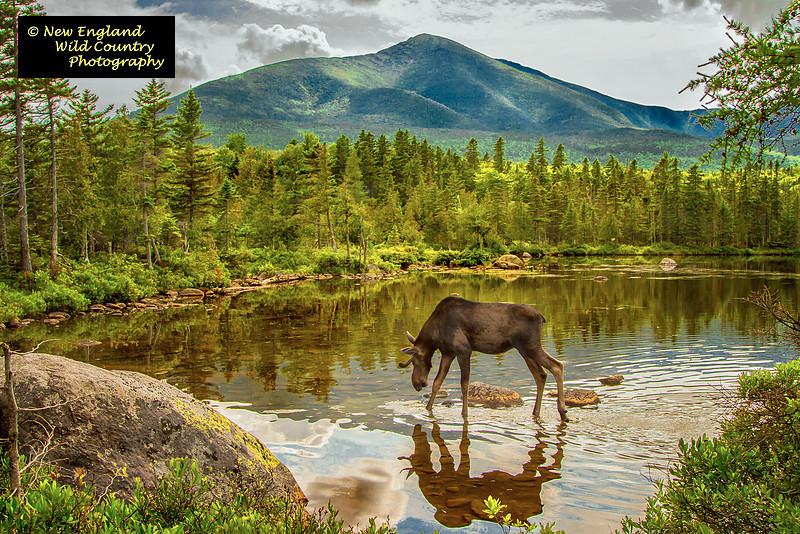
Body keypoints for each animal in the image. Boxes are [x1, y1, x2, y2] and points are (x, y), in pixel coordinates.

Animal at [399, 296, 568, 421]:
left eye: (414, 362)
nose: (418, 384)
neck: (434, 335)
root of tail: (542, 317)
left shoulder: (463, 350)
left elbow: (464, 384)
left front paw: (465, 413)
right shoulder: (448, 353)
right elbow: (437, 382)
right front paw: (427, 408)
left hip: (531, 346)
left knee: (557, 365)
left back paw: (562, 411)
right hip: (525, 351)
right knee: (541, 375)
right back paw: (536, 412)